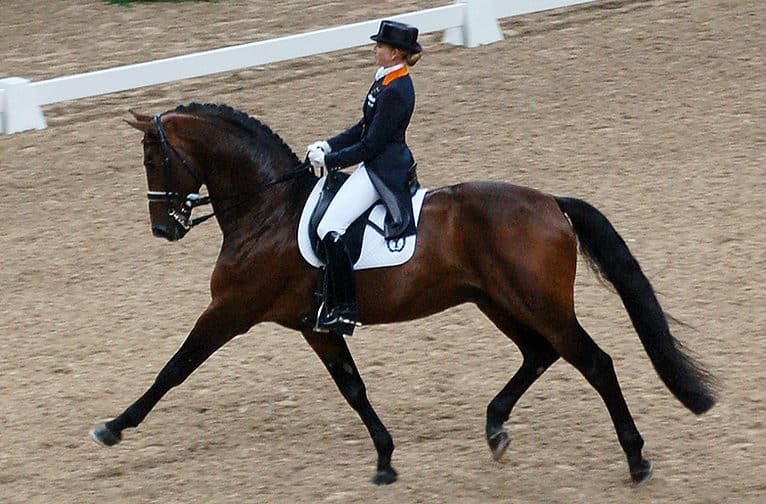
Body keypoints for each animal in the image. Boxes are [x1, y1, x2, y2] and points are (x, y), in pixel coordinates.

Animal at [90, 103, 717, 486]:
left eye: (153, 158)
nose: (163, 229)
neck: (266, 211)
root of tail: (550, 203)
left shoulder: (231, 310)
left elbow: (174, 368)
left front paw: (113, 427)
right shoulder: (314, 326)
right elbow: (352, 387)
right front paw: (386, 460)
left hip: (539, 303)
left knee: (594, 361)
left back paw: (636, 460)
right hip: (496, 301)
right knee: (540, 354)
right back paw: (495, 428)